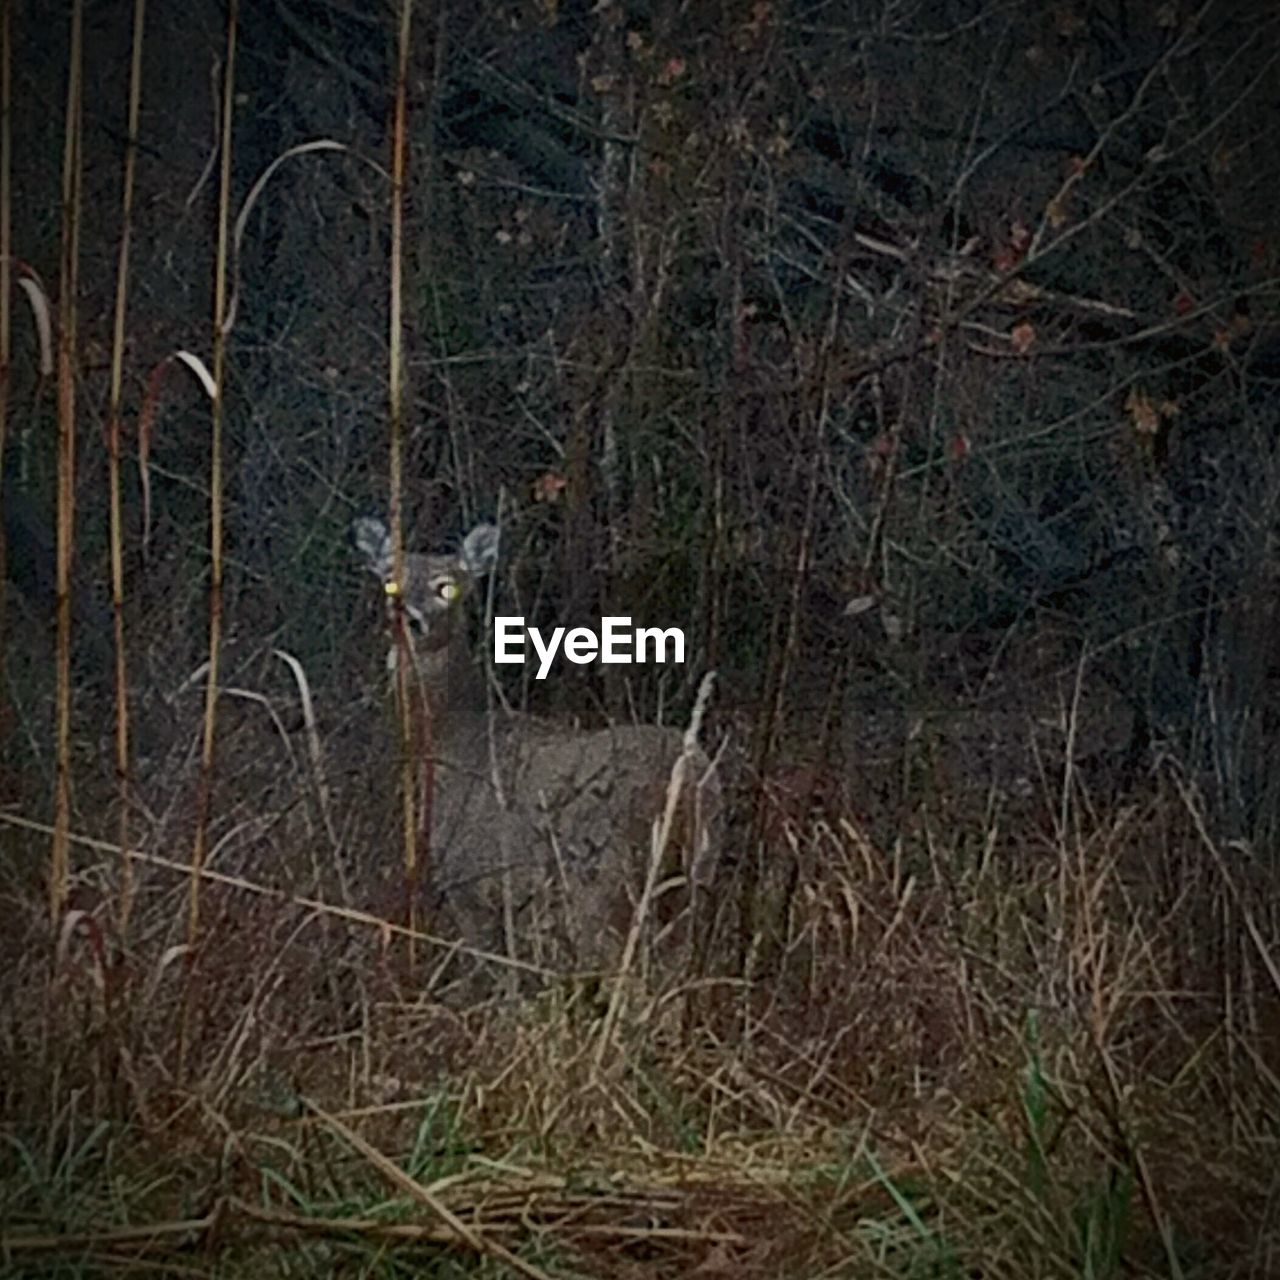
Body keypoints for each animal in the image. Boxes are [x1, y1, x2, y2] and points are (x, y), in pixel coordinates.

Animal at [348, 514, 721, 983]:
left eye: (446, 586)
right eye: (389, 581)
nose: (406, 619)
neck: (454, 741)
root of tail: (685, 781)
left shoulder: (470, 882)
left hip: (600, 880)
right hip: (696, 878)